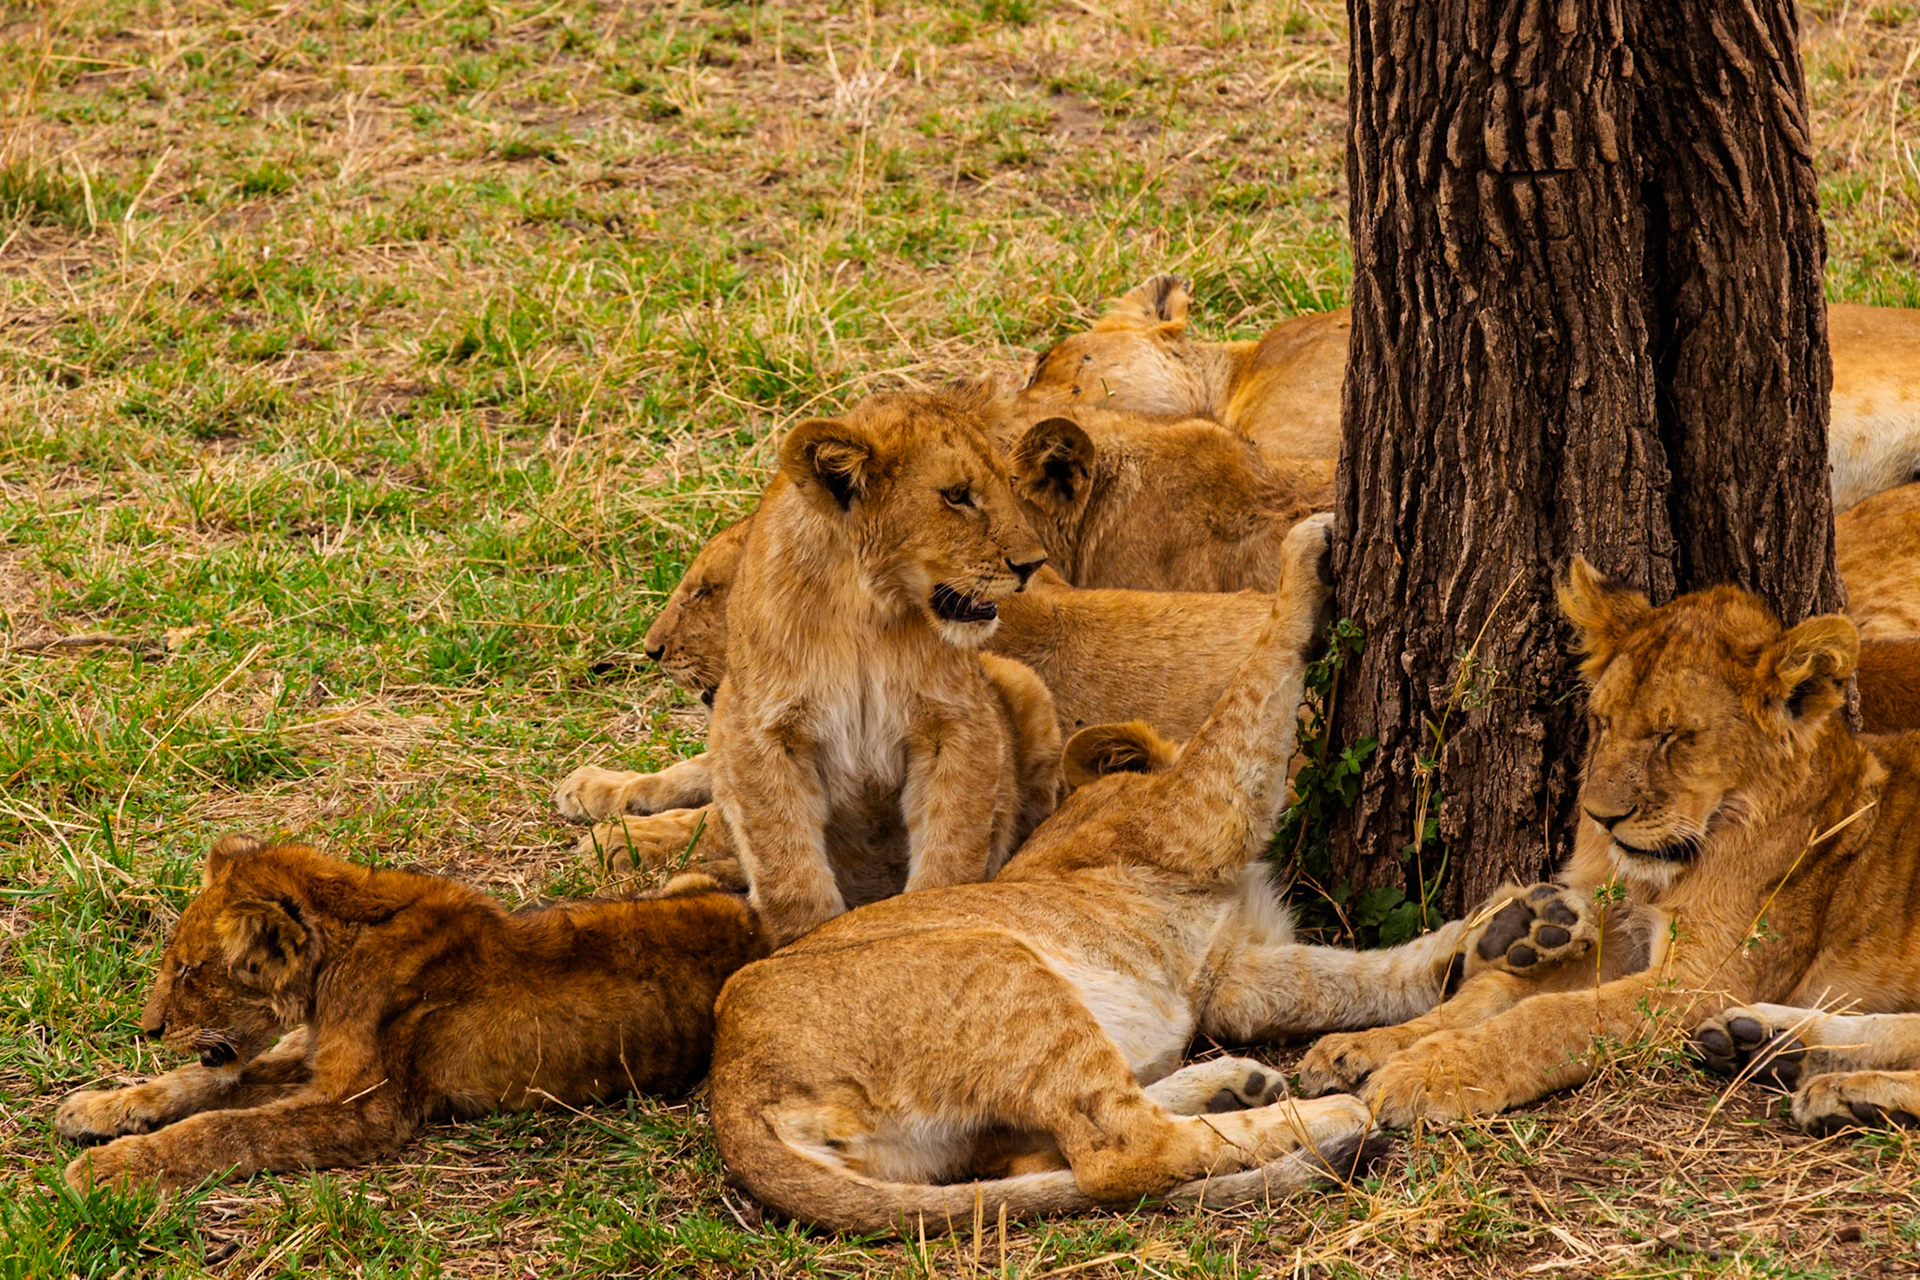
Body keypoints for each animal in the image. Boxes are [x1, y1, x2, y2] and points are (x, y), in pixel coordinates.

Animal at [58, 835, 766, 1190]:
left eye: (187, 971)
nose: (148, 1028)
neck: (332, 970)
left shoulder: (367, 1108)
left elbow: (224, 1129)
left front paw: (111, 1166)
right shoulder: (312, 1058)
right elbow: (208, 1082)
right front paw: (99, 1108)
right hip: (685, 881)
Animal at [700, 388, 1061, 945]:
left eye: (1007, 483)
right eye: (957, 495)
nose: (1033, 564)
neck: (867, 613)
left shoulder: (959, 722)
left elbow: (951, 843)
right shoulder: (760, 730)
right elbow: (787, 862)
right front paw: (806, 938)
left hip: (1023, 684)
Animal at [704, 516, 1605, 1233]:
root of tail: (730, 1087)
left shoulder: (1232, 974)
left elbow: (1364, 976)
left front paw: (1515, 930)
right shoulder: (1194, 818)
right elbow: (1250, 699)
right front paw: (1305, 559)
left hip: (956, 1131)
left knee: (1050, 1156)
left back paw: (1235, 1085)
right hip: (997, 968)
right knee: (1120, 1153)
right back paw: (1315, 1119)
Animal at [1293, 558, 1920, 1137]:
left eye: (1673, 736)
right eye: (1602, 721)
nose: (1599, 817)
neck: (1663, 871)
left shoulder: (1698, 982)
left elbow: (1550, 1017)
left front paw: (1429, 1074)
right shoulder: (1614, 936)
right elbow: (1489, 993)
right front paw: (1366, 1046)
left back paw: (1844, 1092)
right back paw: (1770, 1044)